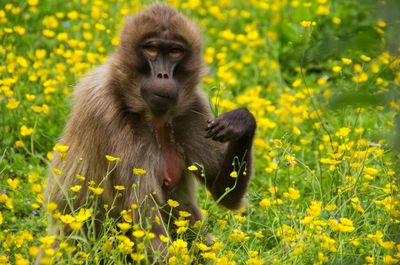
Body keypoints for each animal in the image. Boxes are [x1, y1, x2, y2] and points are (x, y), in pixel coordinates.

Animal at [43, 2, 256, 260]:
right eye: (152, 49)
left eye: (174, 51)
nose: (162, 75)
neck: (151, 116)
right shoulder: (106, 114)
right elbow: (147, 225)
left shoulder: (192, 108)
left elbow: (224, 192)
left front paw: (242, 123)